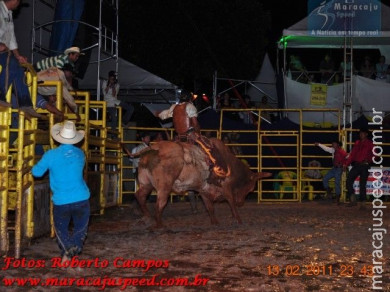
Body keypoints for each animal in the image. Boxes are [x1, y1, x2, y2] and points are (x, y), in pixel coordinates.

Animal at [134, 138, 272, 227]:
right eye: (250, 188)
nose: (241, 202)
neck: (230, 164)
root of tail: (153, 148)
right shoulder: (226, 187)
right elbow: (231, 203)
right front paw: (238, 219)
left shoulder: (203, 190)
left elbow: (209, 207)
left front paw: (215, 222)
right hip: (164, 187)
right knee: (159, 204)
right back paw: (159, 224)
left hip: (146, 184)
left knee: (140, 196)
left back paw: (147, 217)